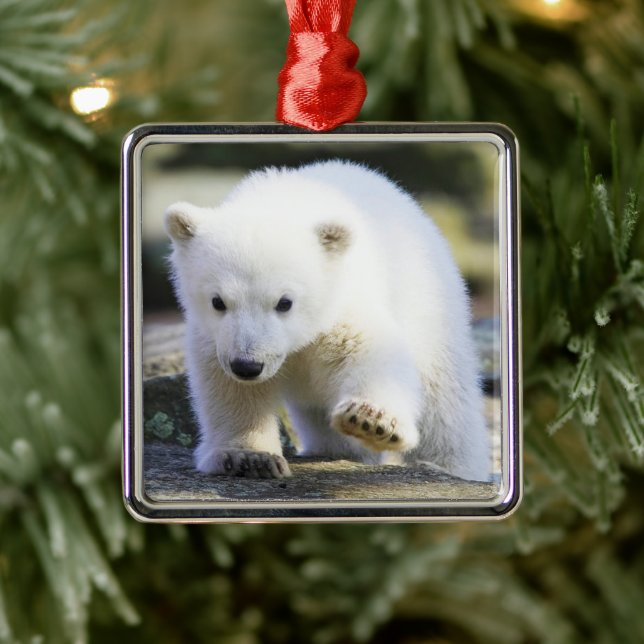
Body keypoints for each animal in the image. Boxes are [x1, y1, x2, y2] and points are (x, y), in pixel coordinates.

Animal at [164, 160, 489, 482]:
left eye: (285, 302)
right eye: (218, 301)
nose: (247, 365)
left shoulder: (341, 302)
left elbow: (370, 350)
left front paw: (371, 420)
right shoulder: (215, 337)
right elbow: (230, 389)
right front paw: (250, 457)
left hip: (429, 304)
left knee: (444, 403)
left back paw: (449, 466)